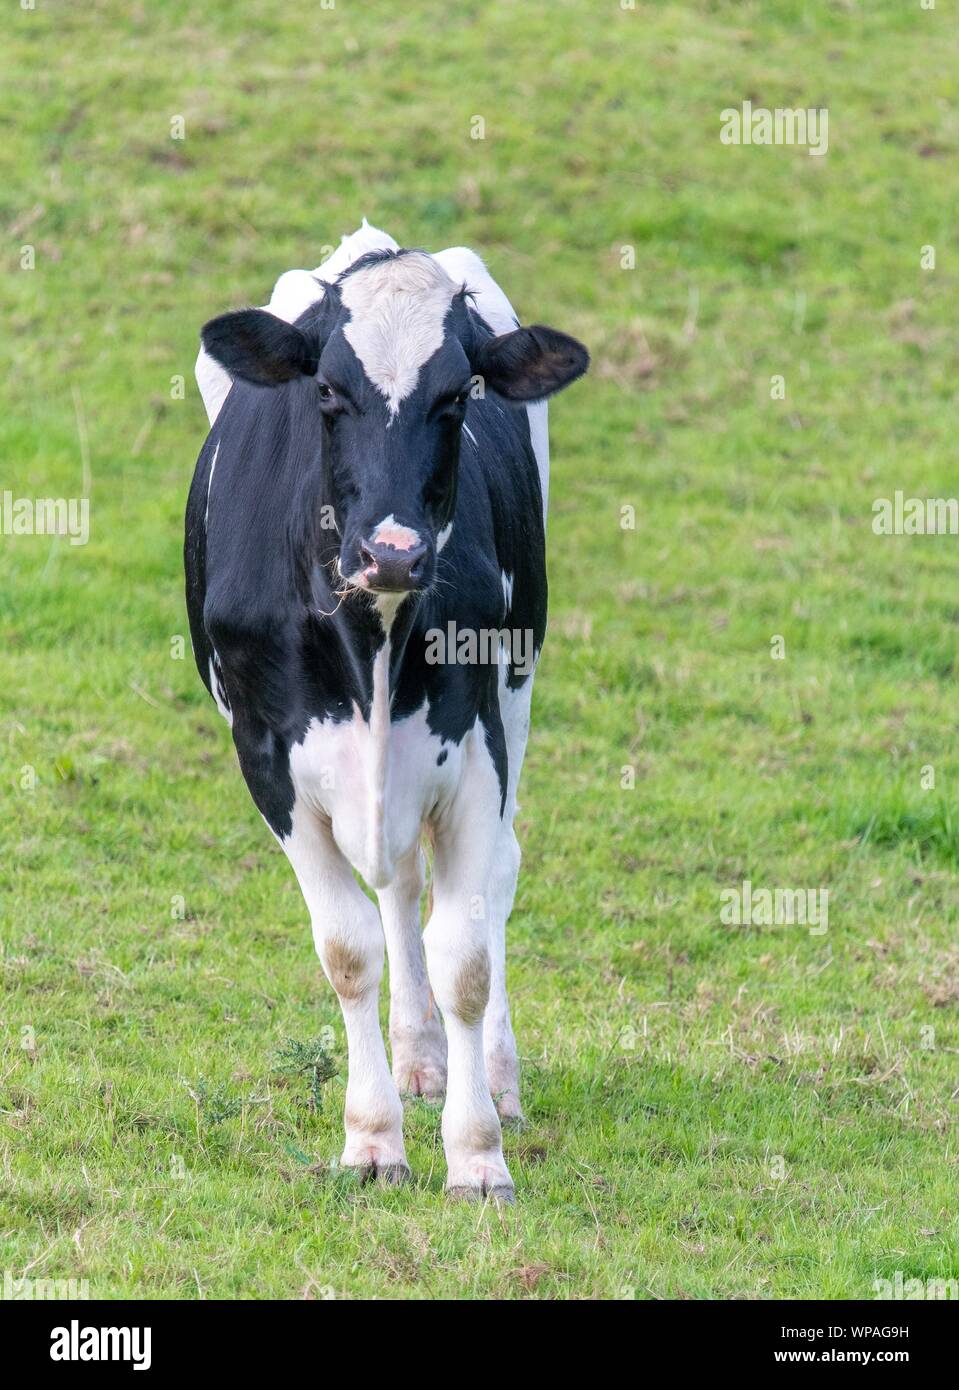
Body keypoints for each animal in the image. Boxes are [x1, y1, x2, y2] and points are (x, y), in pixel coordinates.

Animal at [185, 221, 588, 1201]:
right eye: (328, 391)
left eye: (458, 395)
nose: (395, 552)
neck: (374, 629)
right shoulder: (268, 763)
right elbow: (350, 949)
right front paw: (372, 1138)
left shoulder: (478, 752)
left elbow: (465, 957)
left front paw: (476, 1152)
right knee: (401, 890)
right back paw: (417, 1061)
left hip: (515, 693)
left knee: (488, 880)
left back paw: (494, 1076)